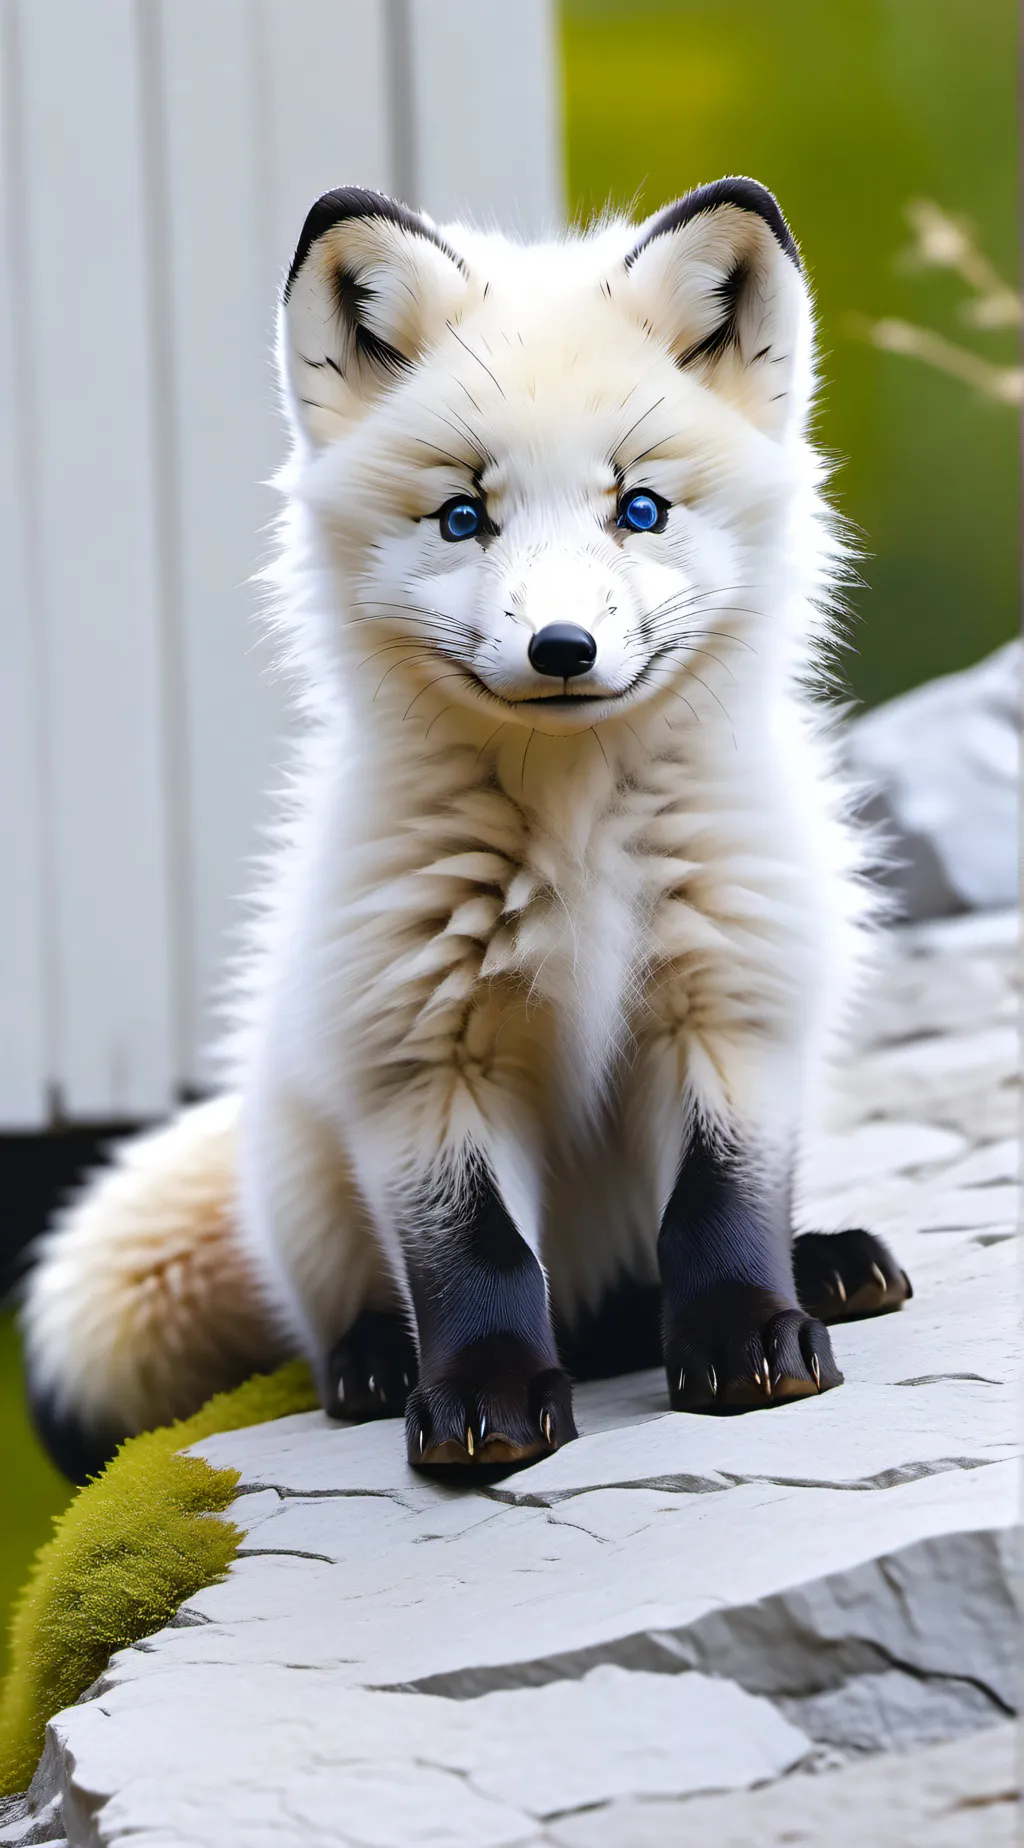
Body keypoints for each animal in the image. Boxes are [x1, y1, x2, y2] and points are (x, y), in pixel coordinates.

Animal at [23, 179, 912, 1483]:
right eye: (461, 518)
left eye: (637, 508)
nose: (561, 648)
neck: (578, 842)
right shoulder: (421, 1059)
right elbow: (476, 1257)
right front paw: (484, 1401)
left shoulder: (728, 1006)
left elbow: (720, 1208)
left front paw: (746, 1339)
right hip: (306, 1172)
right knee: (372, 1309)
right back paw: (375, 1362)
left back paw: (823, 1265)